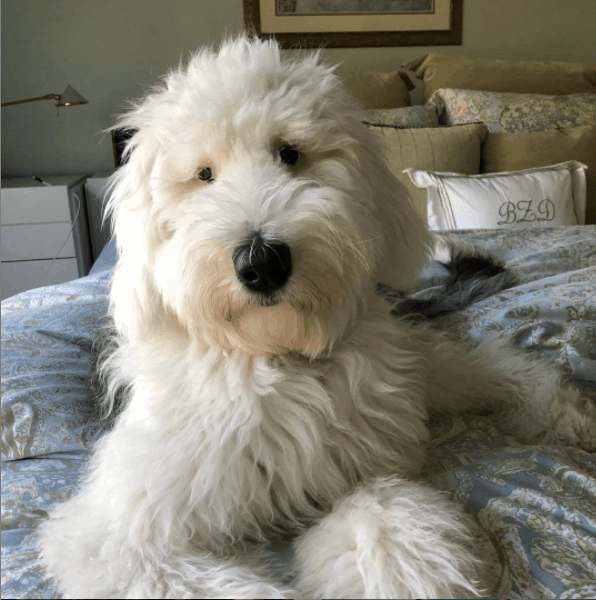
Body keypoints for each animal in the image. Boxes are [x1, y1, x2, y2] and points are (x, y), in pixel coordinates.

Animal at [38, 35, 596, 596]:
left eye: (290, 154)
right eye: (203, 175)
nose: (262, 262)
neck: (277, 358)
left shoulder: (365, 462)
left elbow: (385, 521)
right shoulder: (124, 530)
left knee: (491, 369)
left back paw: (570, 413)